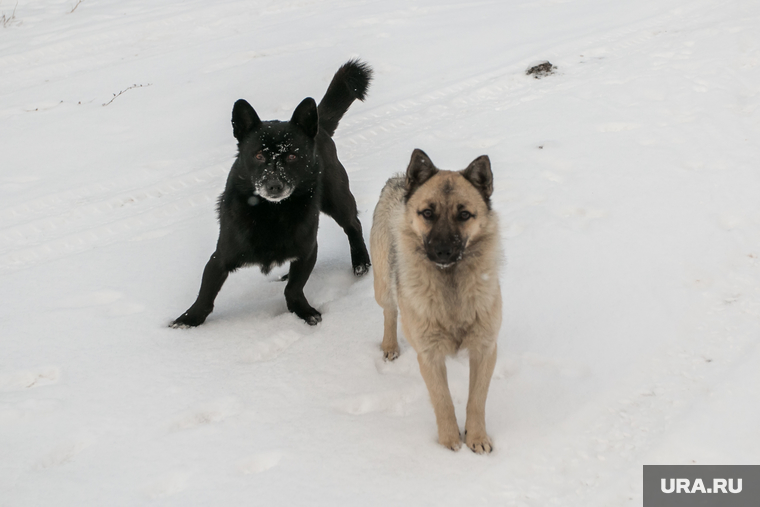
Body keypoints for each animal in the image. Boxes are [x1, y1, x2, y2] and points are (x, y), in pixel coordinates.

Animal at [172, 60, 374, 330]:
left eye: (292, 156)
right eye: (258, 155)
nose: (274, 185)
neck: (271, 212)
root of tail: (318, 128)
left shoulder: (307, 249)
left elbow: (294, 288)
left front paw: (303, 311)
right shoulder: (220, 257)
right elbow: (205, 294)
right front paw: (187, 321)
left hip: (338, 199)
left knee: (354, 225)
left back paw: (361, 262)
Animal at [372, 149, 502, 454]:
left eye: (464, 214)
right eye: (428, 213)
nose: (443, 250)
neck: (450, 285)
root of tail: (398, 180)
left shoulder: (485, 348)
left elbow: (476, 399)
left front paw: (477, 437)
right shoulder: (429, 355)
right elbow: (443, 400)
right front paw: (449, 442)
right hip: (382, 285)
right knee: (390, 312)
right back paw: (390, 345)